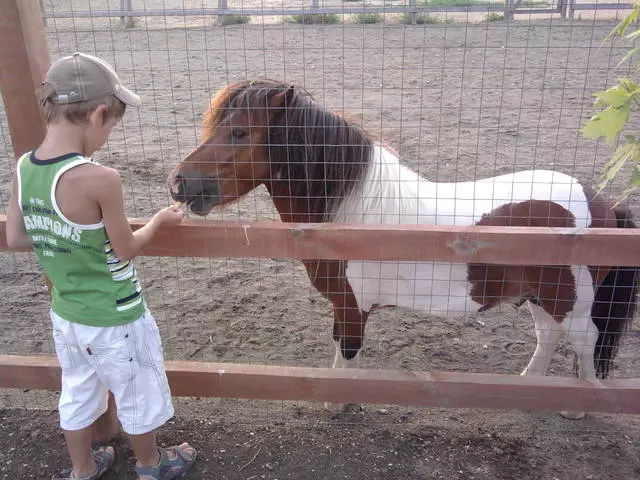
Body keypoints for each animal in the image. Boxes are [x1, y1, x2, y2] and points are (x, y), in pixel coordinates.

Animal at [168, 79, 636, 416]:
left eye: (239, 131)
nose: (178, 182)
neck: (352, 215)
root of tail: (602, 203)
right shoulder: (344, 304)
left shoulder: (352, 305)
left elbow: (348, 350)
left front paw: (337, 402)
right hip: (543, 296)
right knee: (549, 336)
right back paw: (530, 385)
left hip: (568, 300)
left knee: (585, 339)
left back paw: (577, 406)